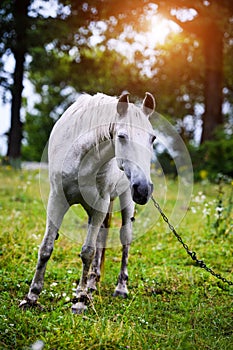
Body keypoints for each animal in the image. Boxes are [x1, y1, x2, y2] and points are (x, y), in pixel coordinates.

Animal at [19, 91, 156, 314]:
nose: (143, 189)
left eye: (152, 138)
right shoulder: (56, 200)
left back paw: (120, 288)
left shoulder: (99, 205)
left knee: (125, 238)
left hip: (126, 199)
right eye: (122, 136)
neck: (81, 157)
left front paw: (80, 301)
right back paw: (92, 284)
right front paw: (31, 297)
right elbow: (46, 247)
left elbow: (88, 252)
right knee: (102, 236)